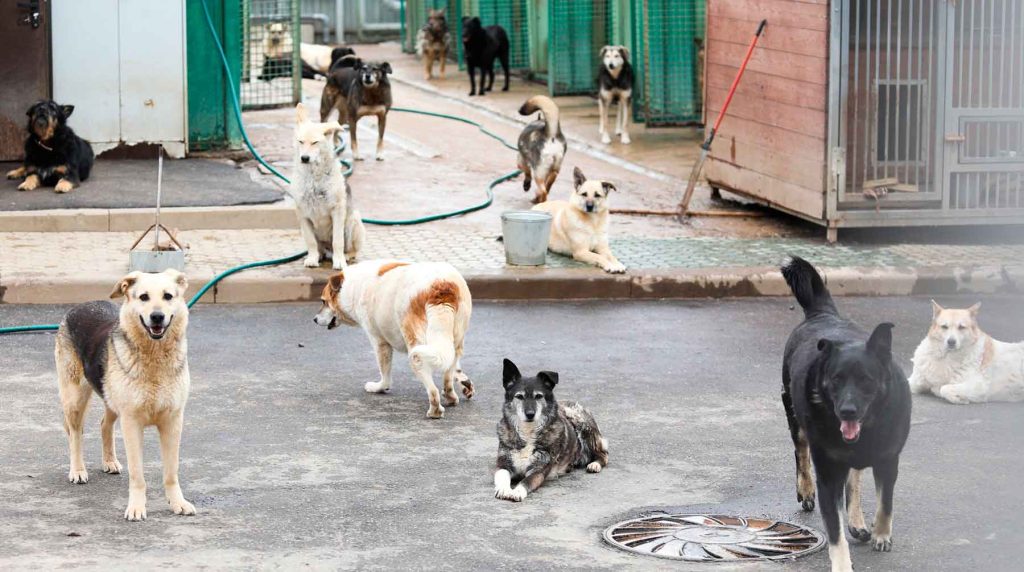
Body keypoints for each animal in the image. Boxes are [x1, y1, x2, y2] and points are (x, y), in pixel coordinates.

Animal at [56, 270, 197, 521]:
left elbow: (171, 472)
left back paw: (109, 461)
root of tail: (81, 306)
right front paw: (137, 508)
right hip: (75, 400)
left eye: (168, 296)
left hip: (110, 401)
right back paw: (78, 470)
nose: (157, 317)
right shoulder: (132, 423)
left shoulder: (173, 422)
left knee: (104, 424)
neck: (154, 358)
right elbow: (137, 475)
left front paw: (177, 503)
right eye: (143, 297)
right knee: (75, 434)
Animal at [313, 261, 473, 419]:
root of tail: (441, 286)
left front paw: (379, 387)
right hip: (454, 340)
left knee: (430, 387)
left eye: (324, 302)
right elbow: (456, 369)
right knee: (449, 369)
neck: (352, 287)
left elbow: (385, 375)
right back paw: (450, 397)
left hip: (415, 348)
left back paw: (435, 410)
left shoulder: (379, 343)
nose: (314, 319)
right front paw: (464, 383)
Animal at [782, 258, 913, 572]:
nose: (847, 410)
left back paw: (857, 521)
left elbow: (885, 502)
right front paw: (842, 564)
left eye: (866, 380)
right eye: (836, 379)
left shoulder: (889, 460)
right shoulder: (828, 475)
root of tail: (822, 314)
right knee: (801, 452)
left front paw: (881, 534)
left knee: (854, 478)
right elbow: (835, 533)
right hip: (793, 415)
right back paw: (806, 489)